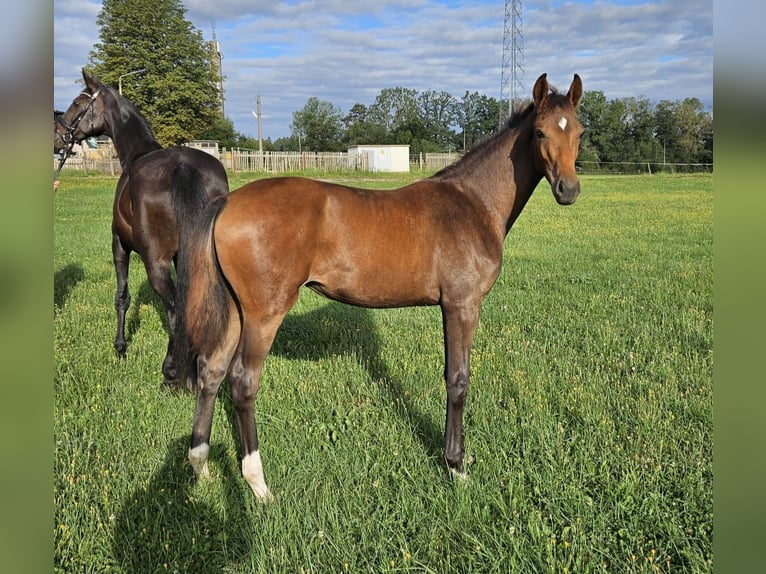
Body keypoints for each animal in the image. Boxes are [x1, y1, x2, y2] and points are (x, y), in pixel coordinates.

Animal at [54, 71, 230, 388]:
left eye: (77, 103)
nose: (57, 136)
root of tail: (183, 167)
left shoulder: (119, 245)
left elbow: (122, 298)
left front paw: (120, 348)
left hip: (154, 261)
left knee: (173, 307)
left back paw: (171, 374)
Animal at [171, 74, 584, 502]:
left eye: (579, 131)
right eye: (539, 131)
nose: (568, 189)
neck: (473, 203)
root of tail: (226, 201)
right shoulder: (462, 305)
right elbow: (458, 379)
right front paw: (455, 466)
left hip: (236, 310)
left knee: (212, 370)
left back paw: (201, 465)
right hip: (264, 314)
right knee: (242, 382)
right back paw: (258, 485)